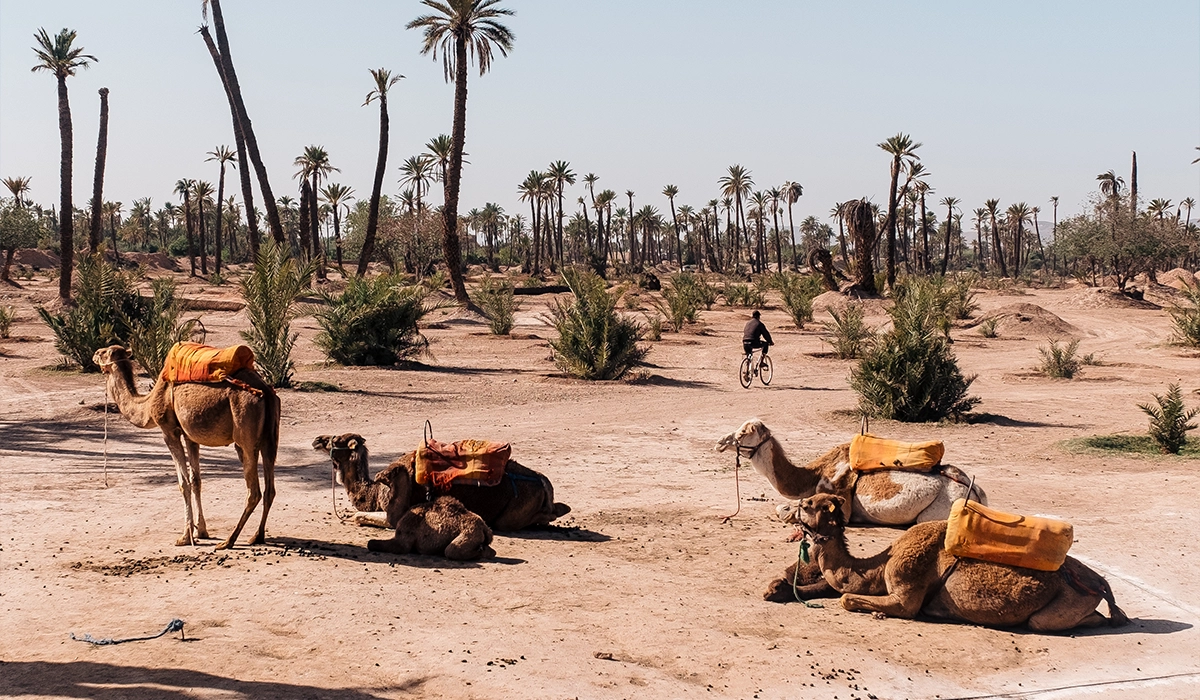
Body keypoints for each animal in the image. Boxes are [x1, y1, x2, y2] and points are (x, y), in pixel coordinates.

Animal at [94, 345, 280, 547]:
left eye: (103, 352)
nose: (94, 355)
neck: (148, 404)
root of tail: (265, 391)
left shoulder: (169, 431)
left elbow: (183, 483)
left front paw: (185, 536)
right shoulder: (190, 437)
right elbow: (196, 480)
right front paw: (201, 531)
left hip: (245, 434)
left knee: (254, 491)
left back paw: (229, 541)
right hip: (270, 438)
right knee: (270, 488)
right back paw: (257, 536)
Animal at [309, 432, 571, 530]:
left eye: (335, 440)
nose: (316, 439)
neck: (374, 492)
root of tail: (544, 483)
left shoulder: (394, 513)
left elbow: (357, 517)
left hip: (512, 515)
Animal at [710, 422, 984, 525]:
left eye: (743, 433)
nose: (720, 443)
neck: (813, 475)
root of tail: (975, 492)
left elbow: (789, 511)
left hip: (937, 510)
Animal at [792, 492, 1128, 633]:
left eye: (808, 505)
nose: (790, 508)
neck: (879, 566)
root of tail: (1100, 582)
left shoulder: (906, 592)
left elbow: (848, 598)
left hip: (1066, 604)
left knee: (1048, 621)